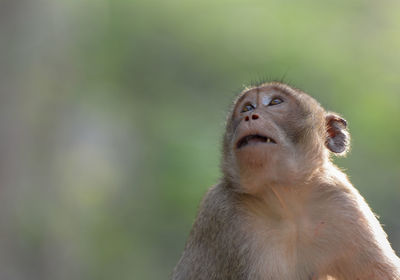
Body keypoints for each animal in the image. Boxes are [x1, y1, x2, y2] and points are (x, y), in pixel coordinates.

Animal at [172, 82, 400, 278]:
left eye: (275, 102)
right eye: (247, 107)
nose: (249, 115)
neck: (286, 202)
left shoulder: (343, 204)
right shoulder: (221, 212)